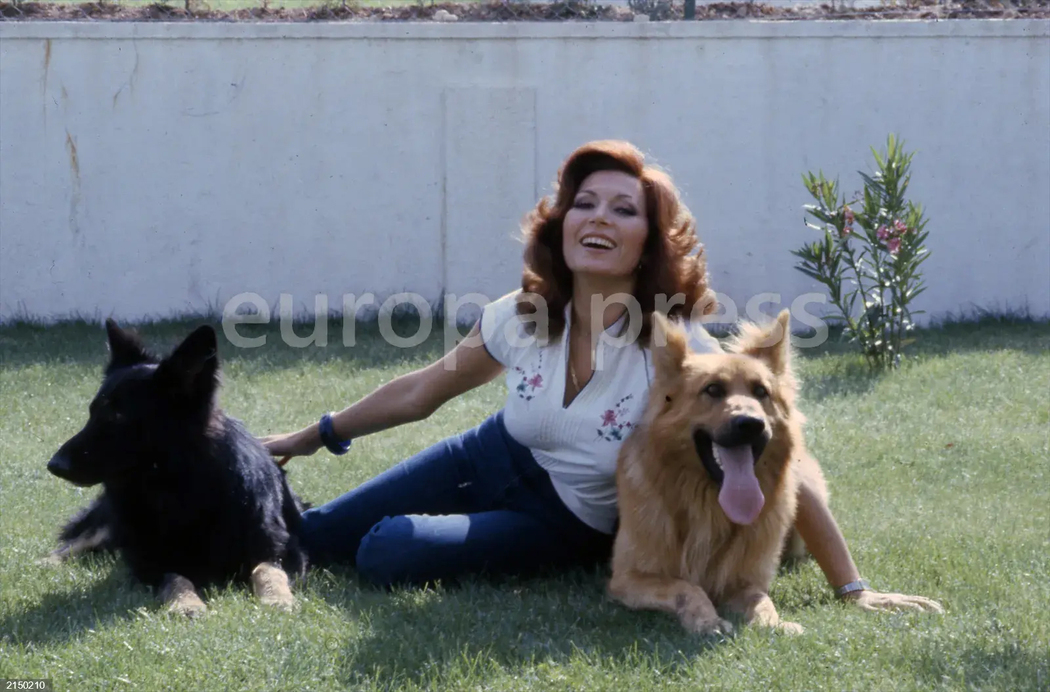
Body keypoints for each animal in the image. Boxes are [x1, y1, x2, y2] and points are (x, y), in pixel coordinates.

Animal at [46, 319, 306, 617]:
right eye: (92, 412)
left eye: (117, 417)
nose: (53, 465)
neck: (181, 487)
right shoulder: (151, 559)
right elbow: (175, 576)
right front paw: (186, 603)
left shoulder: (282, 548)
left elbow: (267, 570)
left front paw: (278, 598)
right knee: (70, 546)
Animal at [613, 310, 823, 634]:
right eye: (712, 389)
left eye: (761, 392)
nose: (751, 424)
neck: (709, 508)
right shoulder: (627, 578)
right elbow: (685, 587)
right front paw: (706, 618)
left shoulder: (745, 581)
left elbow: (762, 600)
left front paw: (774, 624)